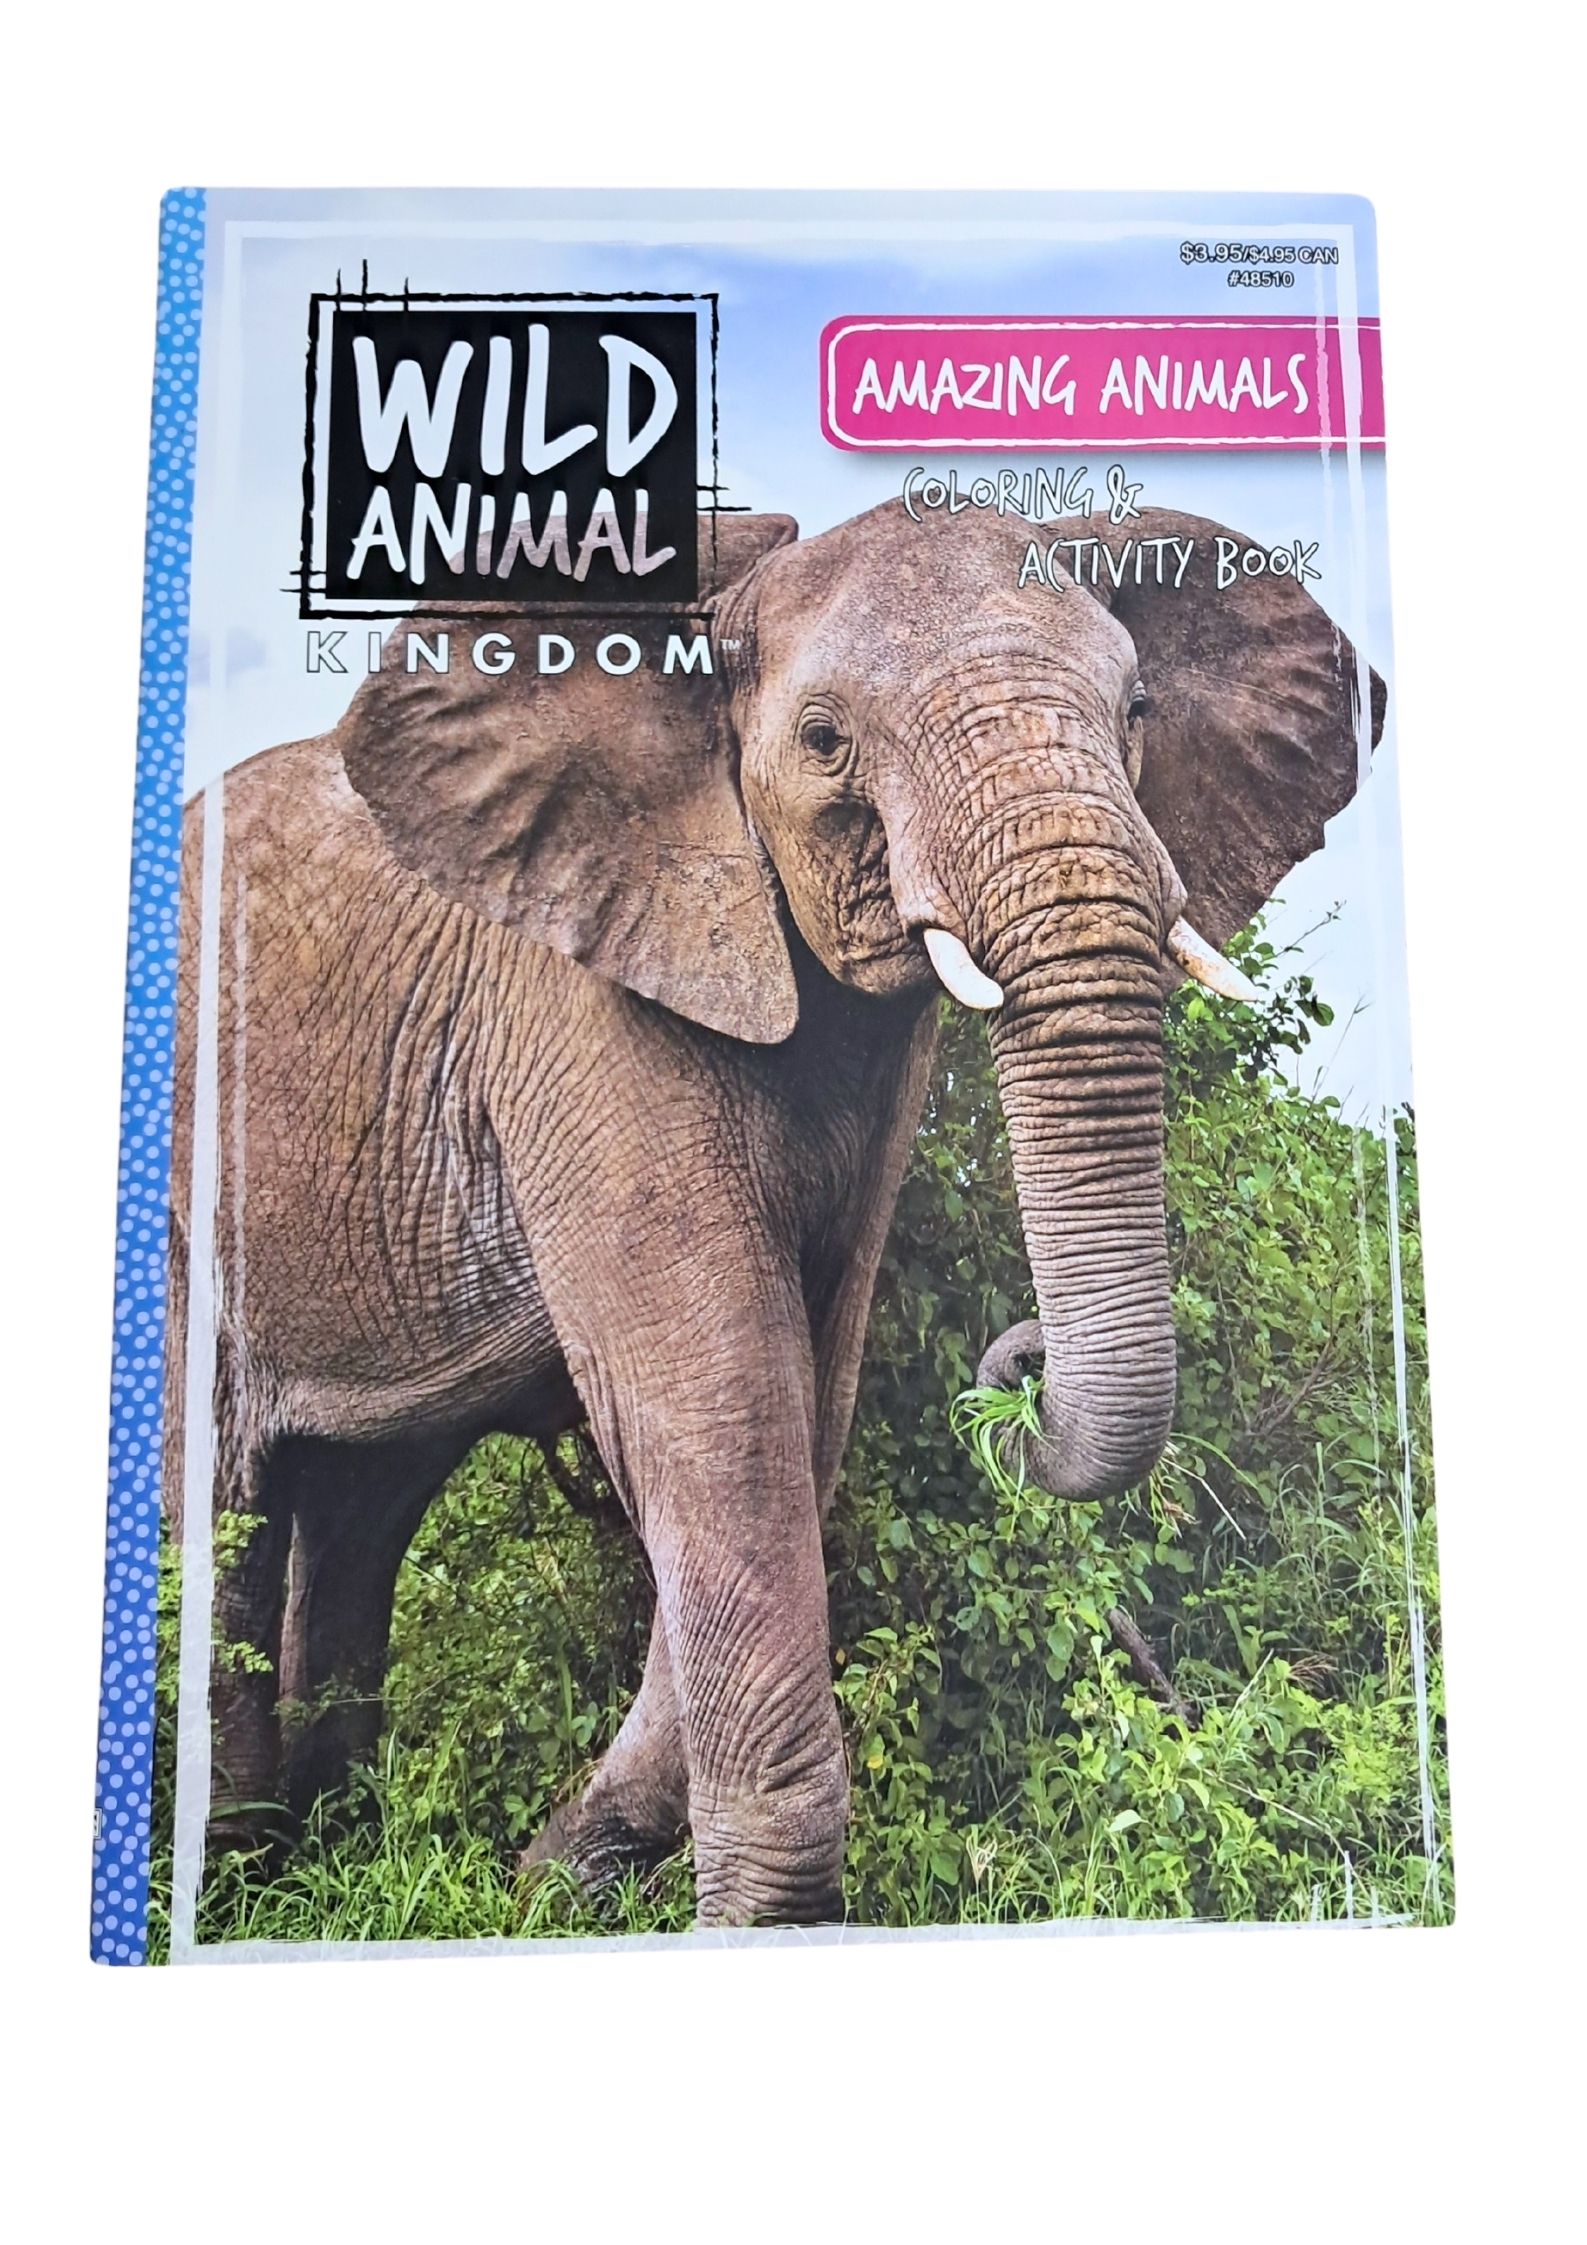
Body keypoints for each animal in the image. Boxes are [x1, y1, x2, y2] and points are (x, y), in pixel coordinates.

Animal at [163, 497, 1381, 1927]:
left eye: (1137, 709)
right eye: (823, 739)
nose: (1018, 1362)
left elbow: (814, 1395)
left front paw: (569, 1872)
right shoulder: (581, 996)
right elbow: (722, 1406)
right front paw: (733, 1916)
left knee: (361, 1499)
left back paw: (334, 1846)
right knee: (225, 1496)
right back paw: (237, 1873)